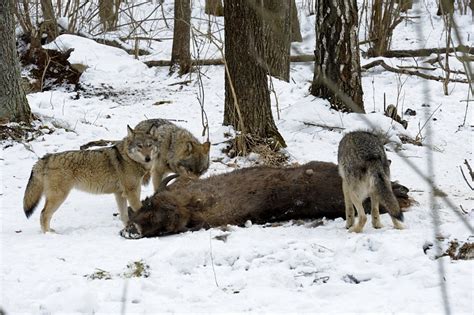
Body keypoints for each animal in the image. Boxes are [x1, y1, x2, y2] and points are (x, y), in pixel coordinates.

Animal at [23, 125, 159, 232]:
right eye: (139, 146)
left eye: (149, 145)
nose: (148, 158)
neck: (127, 158)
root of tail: (46, 157)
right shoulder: (132, 192)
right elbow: (139, 209)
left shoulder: (120, 194)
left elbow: (124, 215)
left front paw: (127, 228)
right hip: (59, 197)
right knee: (43, 214)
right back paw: (48, 234)